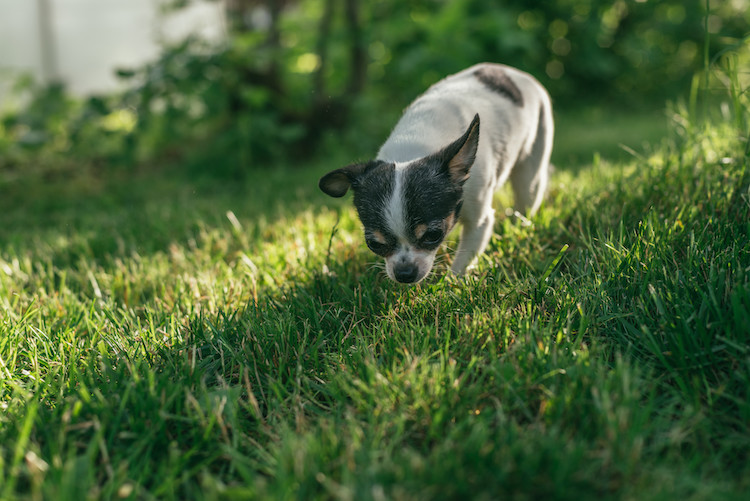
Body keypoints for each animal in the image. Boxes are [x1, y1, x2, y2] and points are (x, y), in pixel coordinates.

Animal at [320, 63, 556, 284]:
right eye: (374, 244)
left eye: (433, 235)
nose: (404, 273)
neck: (414, 150)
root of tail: (515, 73)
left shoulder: (479, 221)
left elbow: (463, 260)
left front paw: (452, 285)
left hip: (532, 166)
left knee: (525, 201)